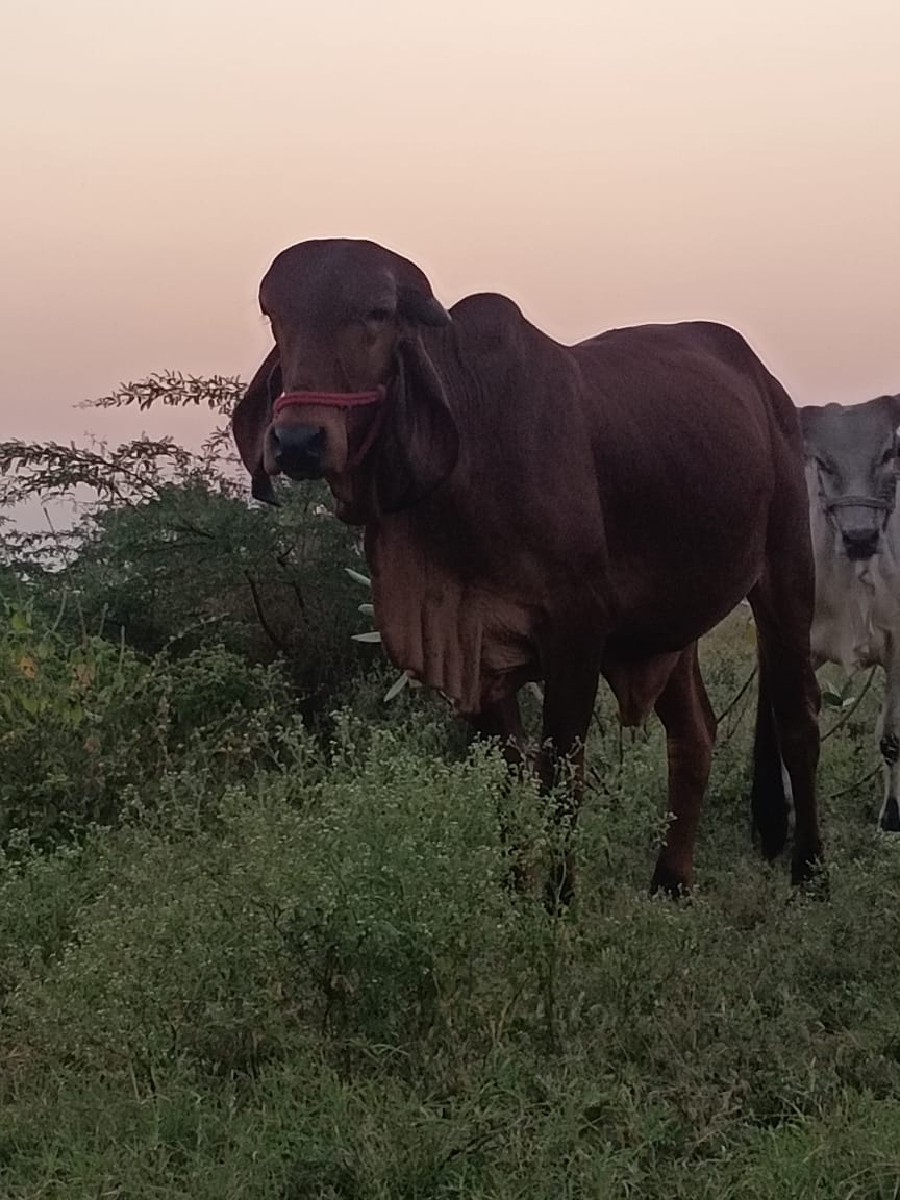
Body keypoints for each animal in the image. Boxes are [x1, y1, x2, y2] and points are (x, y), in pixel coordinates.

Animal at [232, 237, 823, 902]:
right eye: (275, 315)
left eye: (378, 312)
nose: (298, 441)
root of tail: (767, 386)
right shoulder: (474, 650)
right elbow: (509, 780)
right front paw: (517, 894)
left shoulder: (576, 634)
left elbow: (560, 778)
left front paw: (557, 903)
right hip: (670, 627)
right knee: (695, 732)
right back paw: (670, 881)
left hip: (786, 578)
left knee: (799, 721)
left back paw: (811, 873)